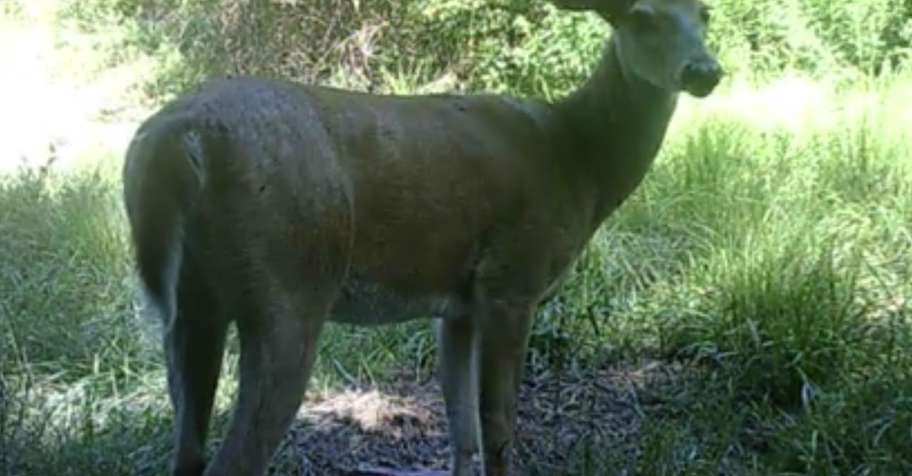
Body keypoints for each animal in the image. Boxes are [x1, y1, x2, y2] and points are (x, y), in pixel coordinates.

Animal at [122, 0, 722, 475]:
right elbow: (498, 426)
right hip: (288, 284)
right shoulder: (512, 278)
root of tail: (174, 141)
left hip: (191, 306)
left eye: (706, 12)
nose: (706, 71)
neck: (577, 160)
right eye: (643, 16)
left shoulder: (457, 304)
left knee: (188, 450)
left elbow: (461, 427)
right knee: (236, 457)